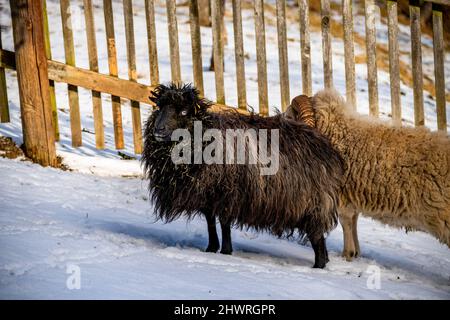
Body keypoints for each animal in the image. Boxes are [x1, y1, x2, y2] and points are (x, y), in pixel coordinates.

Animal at [288, 89, 450, 260]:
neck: (338, 136)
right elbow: (353, 222)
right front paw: (356, 253)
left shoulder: (342, 196)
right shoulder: (352, 197)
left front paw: (347, 254)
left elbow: (346, 222)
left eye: (290, 117)